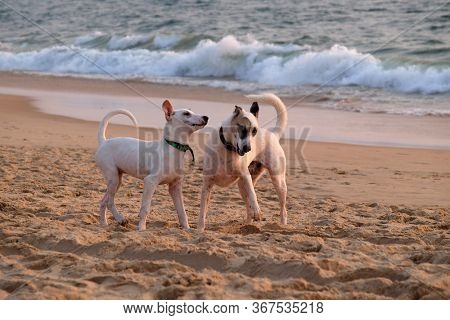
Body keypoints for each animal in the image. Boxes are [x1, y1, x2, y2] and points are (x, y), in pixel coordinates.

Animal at [96, 100, 208, 230]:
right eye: (186, 114)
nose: (206, 117)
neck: (172, 148)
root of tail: (104, 142)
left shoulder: (175, 187)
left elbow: (182, 211)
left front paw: (187, 229)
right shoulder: (150, 182)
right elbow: (145, 209)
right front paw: (141, 228)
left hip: (117, 180)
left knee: (104, 201)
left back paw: (104, 223)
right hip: (113, 178)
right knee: (109, 201)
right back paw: (120, 219)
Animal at [198, 92, 288, 230]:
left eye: (254, 131)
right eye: (243, 129)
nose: (248, 149)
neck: (228, 149)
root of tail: (273, 134)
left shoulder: (246, 176)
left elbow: (253, 194)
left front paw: (257, 210)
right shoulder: (207, 183)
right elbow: (203, 209)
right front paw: (200, 229)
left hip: (278, 181)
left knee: (282, 207)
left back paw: (282, 224)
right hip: (241, 186)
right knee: (247, 206)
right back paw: (247, 223)